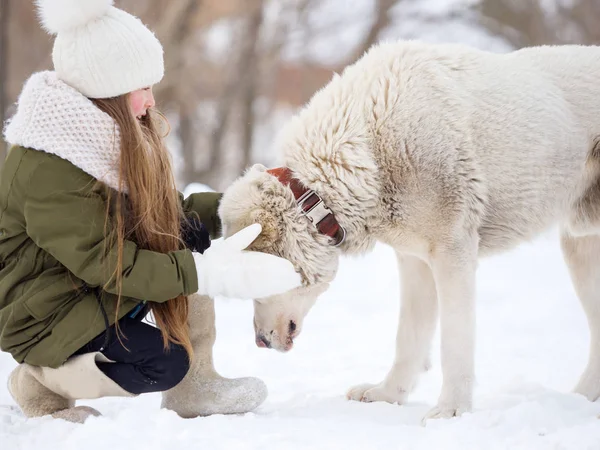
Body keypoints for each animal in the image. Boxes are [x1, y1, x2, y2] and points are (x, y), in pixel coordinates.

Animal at [218, 40, 600, 420]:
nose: (260, 342)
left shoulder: (453, 253)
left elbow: (453, 342)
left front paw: (451, 411)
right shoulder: (414, 260)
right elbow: (408, 338)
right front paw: (387, 395)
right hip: (579, 248)